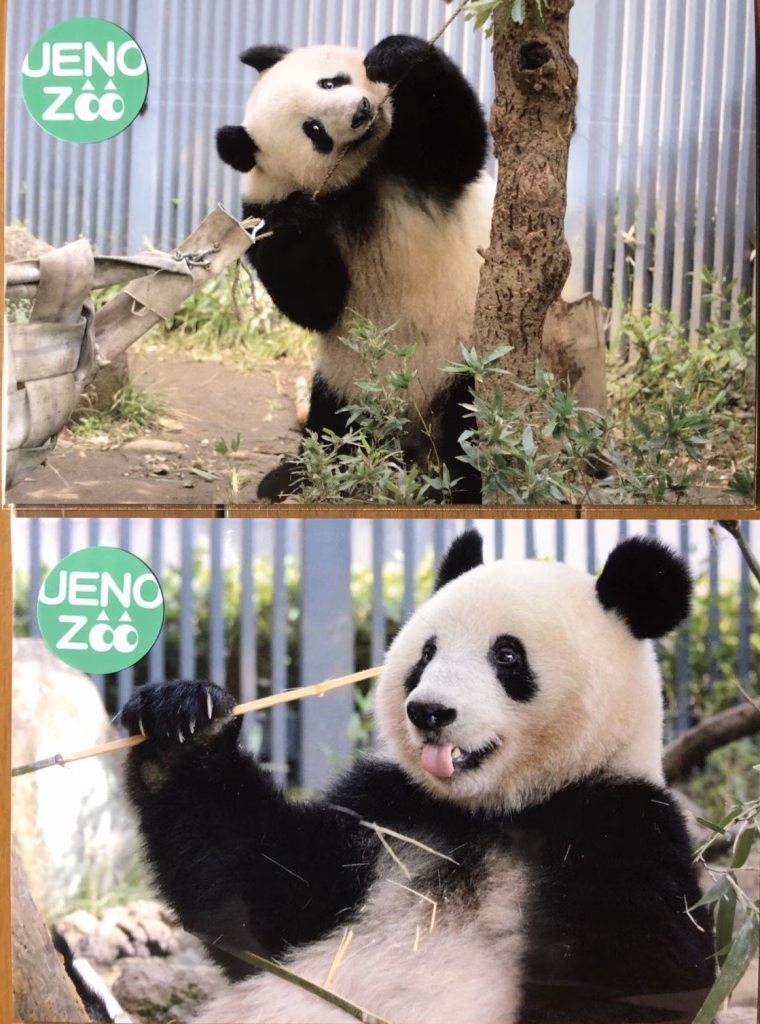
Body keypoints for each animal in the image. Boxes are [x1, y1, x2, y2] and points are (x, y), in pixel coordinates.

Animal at [120, 532, 716, 1024]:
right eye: (427, 653)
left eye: (507, 655)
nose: (429, 712)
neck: (494, 812)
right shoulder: (390, 811)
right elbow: (257, 895)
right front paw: (183, 725)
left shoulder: (622, 828)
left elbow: (644, 978)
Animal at [215, 35, 494, 505]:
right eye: (313, 131)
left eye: (331, 82)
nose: (361, 110)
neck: (358, 178)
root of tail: (409, 421)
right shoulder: (261, 213)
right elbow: (313, 302)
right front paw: (297, 221)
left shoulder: (417, 162)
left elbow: (458, 141)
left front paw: (395, 54)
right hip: (350, 377)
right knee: (337, 424)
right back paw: (301, 476)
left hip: (466, 354)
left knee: (469, 427)